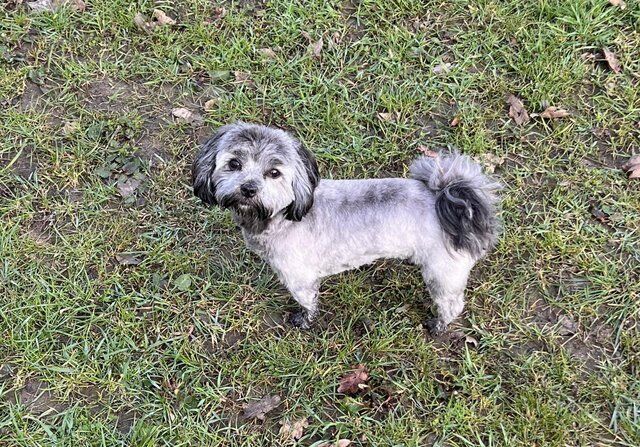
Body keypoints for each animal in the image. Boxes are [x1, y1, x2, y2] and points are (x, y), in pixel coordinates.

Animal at [192, 122, 502, 336]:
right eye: (234, 164)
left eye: (274, 173)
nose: (248, 188)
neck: (284, 217)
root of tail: (446, 200)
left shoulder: (299, 277)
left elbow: (307, 302)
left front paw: (303, 321)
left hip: (442, 273)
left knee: (451, 304)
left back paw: (438, 325)